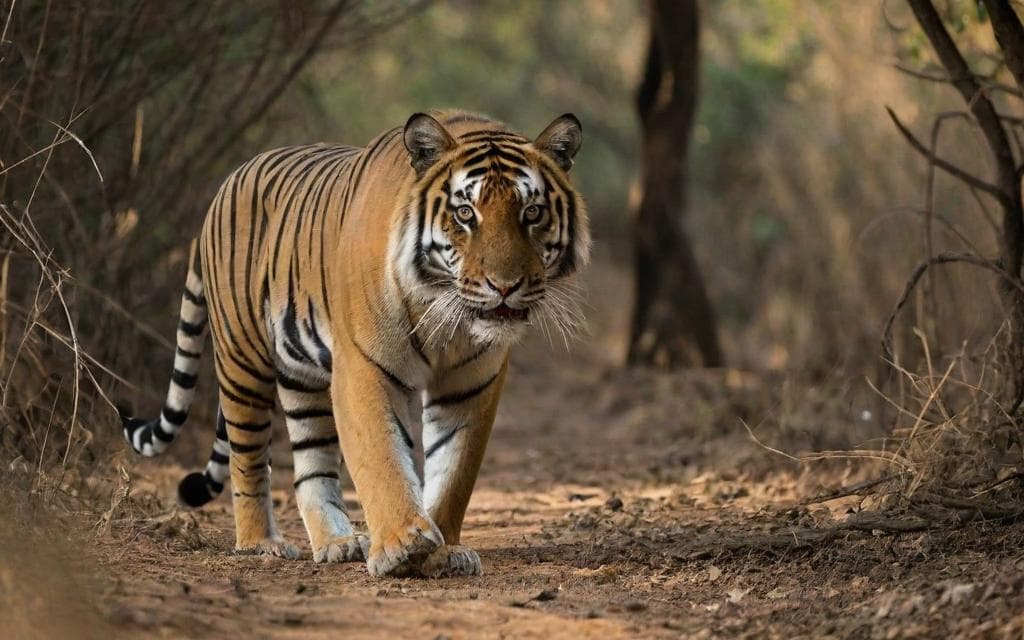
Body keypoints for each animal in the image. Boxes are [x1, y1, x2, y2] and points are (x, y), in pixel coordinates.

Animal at [120, 110, 589, 577]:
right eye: (464, 213)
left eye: (532, 212)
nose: (504, 286)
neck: (443, 311)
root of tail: (225, 186)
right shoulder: (364, 367)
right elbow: (381, 456)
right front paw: (402, 545)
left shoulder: (472, 384)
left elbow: (455, 472)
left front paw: (443, 550)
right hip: (243, 361)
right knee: (248, 458)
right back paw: (260, 543)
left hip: (303, 380)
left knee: (309, 469)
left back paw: (338, 542)